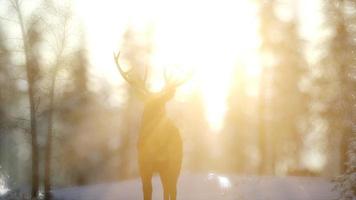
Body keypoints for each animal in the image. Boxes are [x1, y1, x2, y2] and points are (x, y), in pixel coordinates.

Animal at [113, 52, 186, 200]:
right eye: (148, 105)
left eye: (162, 104)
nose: (156, 117)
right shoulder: (143, 164)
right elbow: (147, 190)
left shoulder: (169, 164)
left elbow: (168, 190)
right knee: (167, 189)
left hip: (177, 163)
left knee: (172, 189)